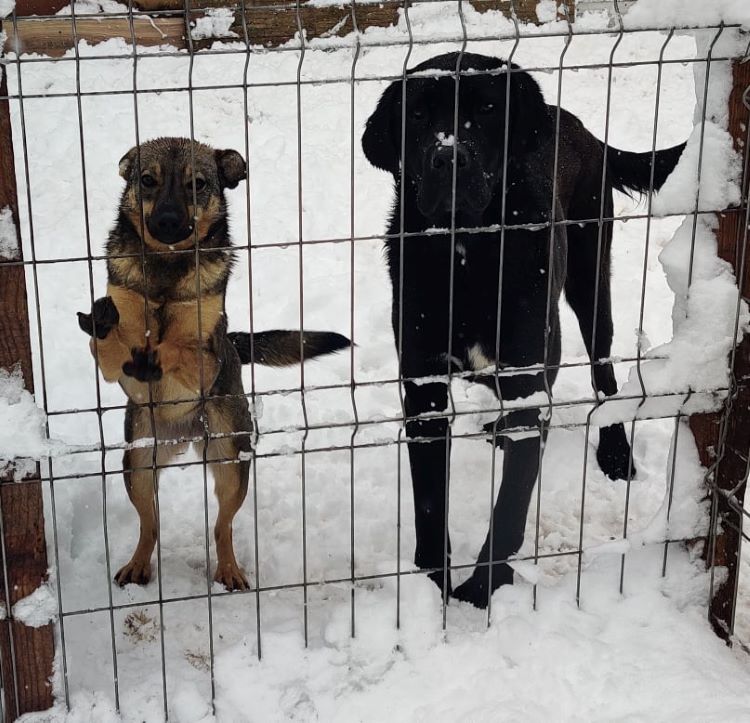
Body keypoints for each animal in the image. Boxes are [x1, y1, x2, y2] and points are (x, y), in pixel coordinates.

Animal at [78, 139, 348, 592]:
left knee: (222, 526)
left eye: (197, 184)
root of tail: (185, 435)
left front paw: (159, 350)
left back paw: (229, 570)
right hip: (139, 463)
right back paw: (138, 565)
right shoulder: (111, 363)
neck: (167, 267)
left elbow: (184, 346)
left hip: (231, 461)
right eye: (147, 180)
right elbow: (112, 341)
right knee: (149, 524)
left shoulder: (206, 353)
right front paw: (106, 320)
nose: (168, 221)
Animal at [364, 52, 688, 604]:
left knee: (603, 370)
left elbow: (512, 503)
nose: (449, 159)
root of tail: (579, 126)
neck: (469, 252)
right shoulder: (423, 388)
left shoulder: (527, 364)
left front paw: (483, 591)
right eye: (419, 114)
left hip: (589, 279)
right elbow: (429, 502)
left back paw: (615, 452)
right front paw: (433, 589)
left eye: (488, 108)